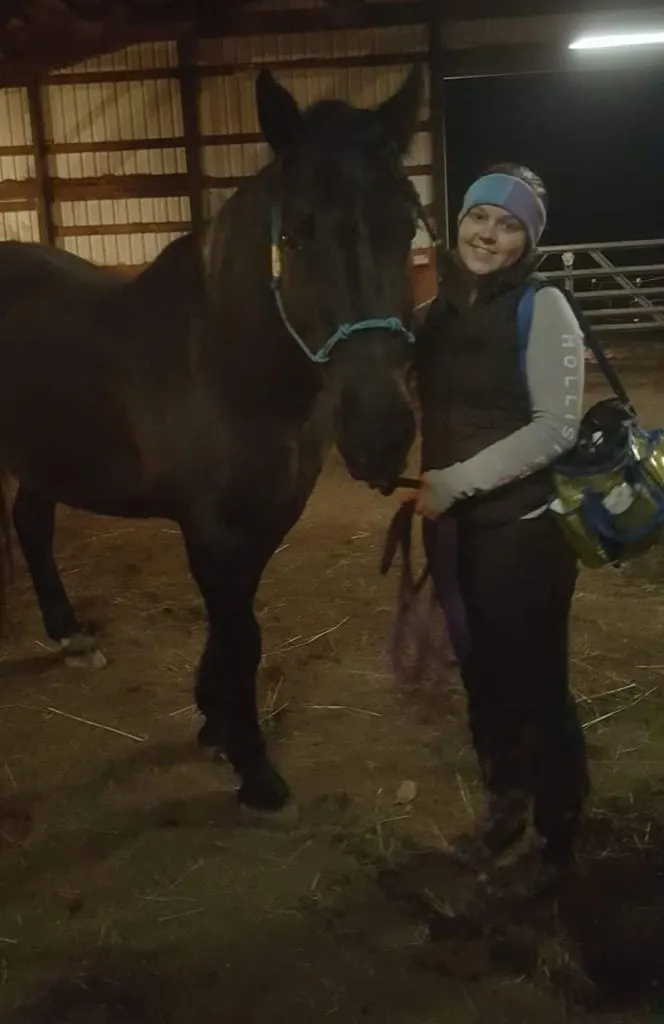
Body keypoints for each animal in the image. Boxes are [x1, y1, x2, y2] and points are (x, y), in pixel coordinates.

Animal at [0, 66, 426, 823]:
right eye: (297, 233)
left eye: (406, 223)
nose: (380, 433)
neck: (221, 364)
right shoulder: (212, 530)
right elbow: (241, 635)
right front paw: (256, 773)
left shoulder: (264, 519)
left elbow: (237, 629)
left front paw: (214, 719)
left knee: (32, 523)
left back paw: (70, 633)